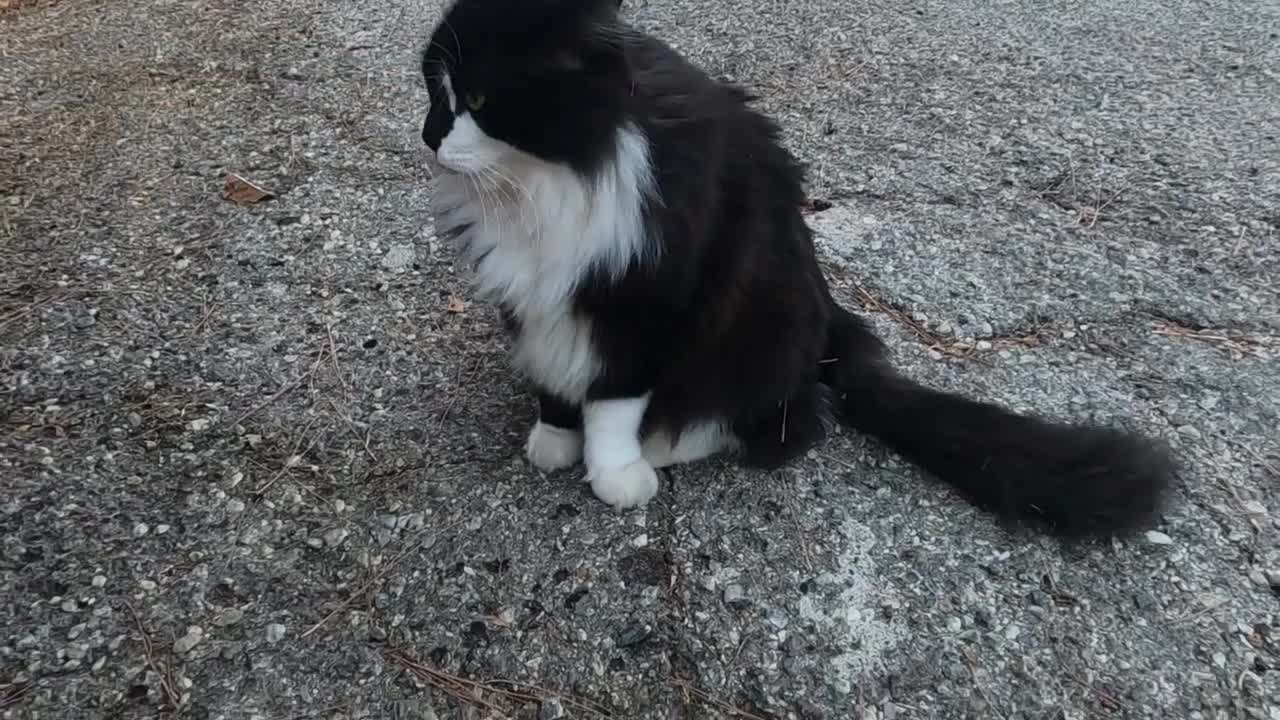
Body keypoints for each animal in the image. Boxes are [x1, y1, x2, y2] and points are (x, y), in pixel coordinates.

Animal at [414, 0, 1172, 535]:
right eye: (432, 89)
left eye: (478, 101)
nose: (427, 137)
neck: (545, 184)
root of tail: (832, 314)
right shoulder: (536, 293)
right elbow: (553, 368)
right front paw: (553, 434)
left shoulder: (647, 298)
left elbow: (614, 397)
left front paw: (613, 469)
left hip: (759, 322)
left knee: (791, 422)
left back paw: (663, 446)